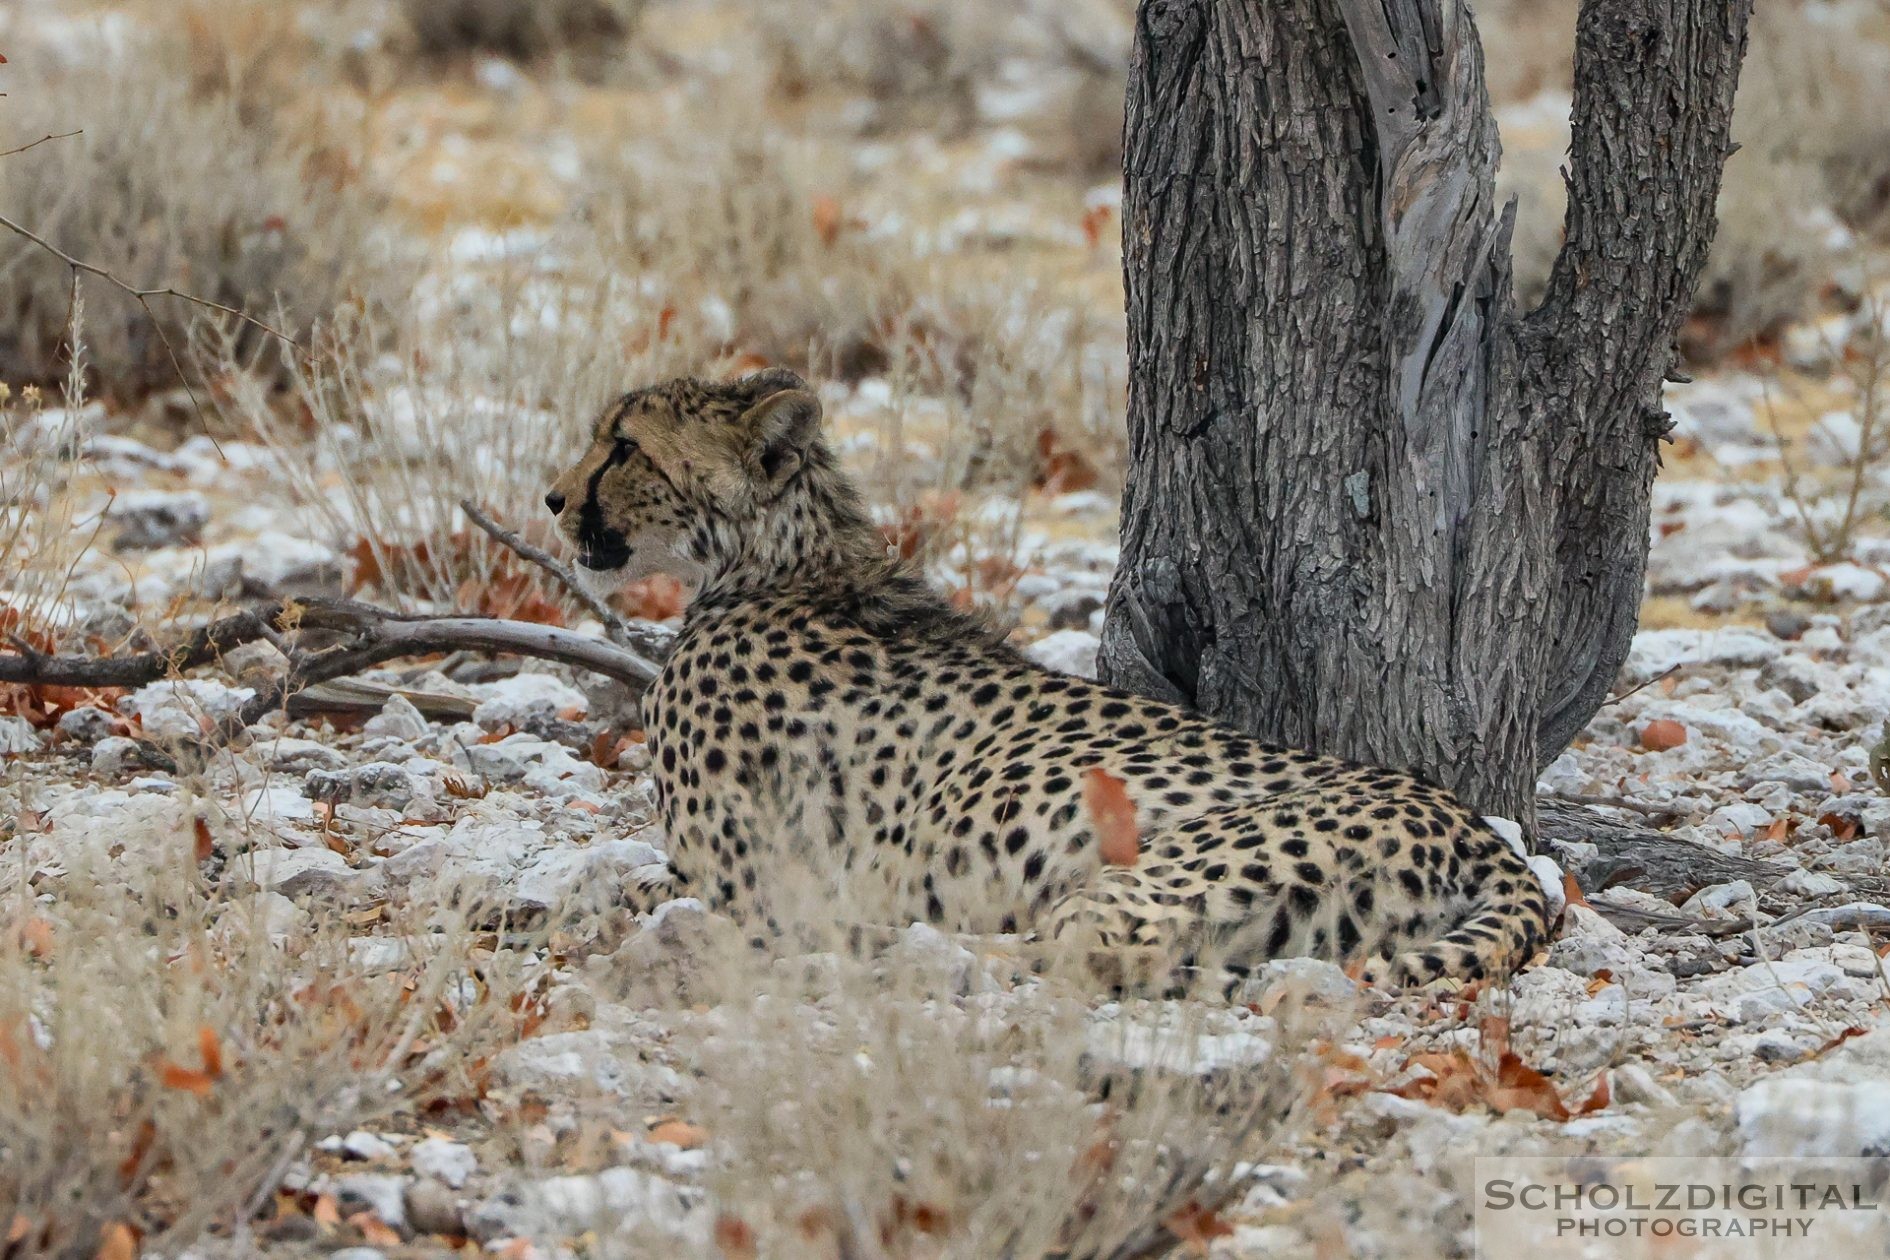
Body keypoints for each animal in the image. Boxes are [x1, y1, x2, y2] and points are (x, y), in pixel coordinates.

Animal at [548, 370, 1549, 989]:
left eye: (624, 446)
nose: (554, 499)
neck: (780, 564)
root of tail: (1478, 831)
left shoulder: (738, 872)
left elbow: (614, 887)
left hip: (1149, 871)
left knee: (1078, 955)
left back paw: (893, 945)